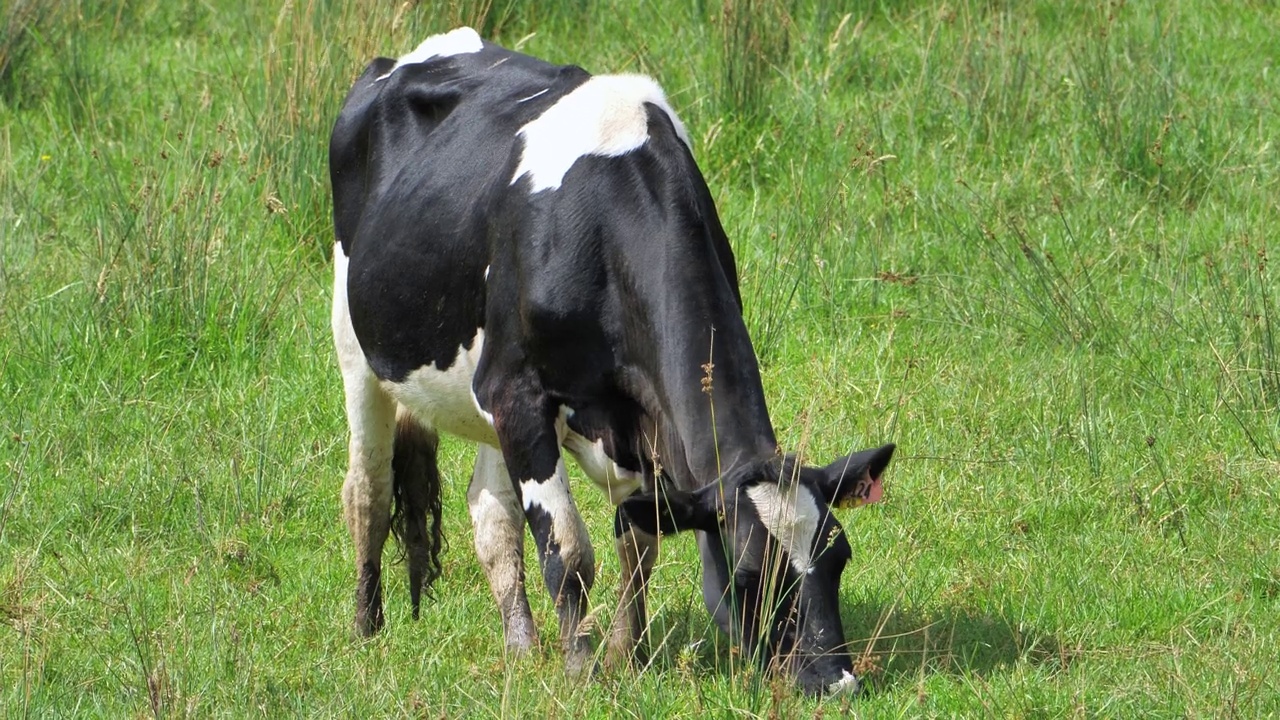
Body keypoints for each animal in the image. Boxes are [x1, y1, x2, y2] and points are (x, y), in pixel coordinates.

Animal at [325, 28, 896, 696]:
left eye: (839, 556)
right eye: (751, 575)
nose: (837, 681)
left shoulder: (636, 421)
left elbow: (639, 542)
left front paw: (630, 653)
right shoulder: (520, 393)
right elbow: (569, 553)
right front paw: (581, 668)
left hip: (482, 396)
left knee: (491, 514)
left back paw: (521, 649)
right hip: (357, 344)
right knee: (369, 490)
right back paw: (367, 627)